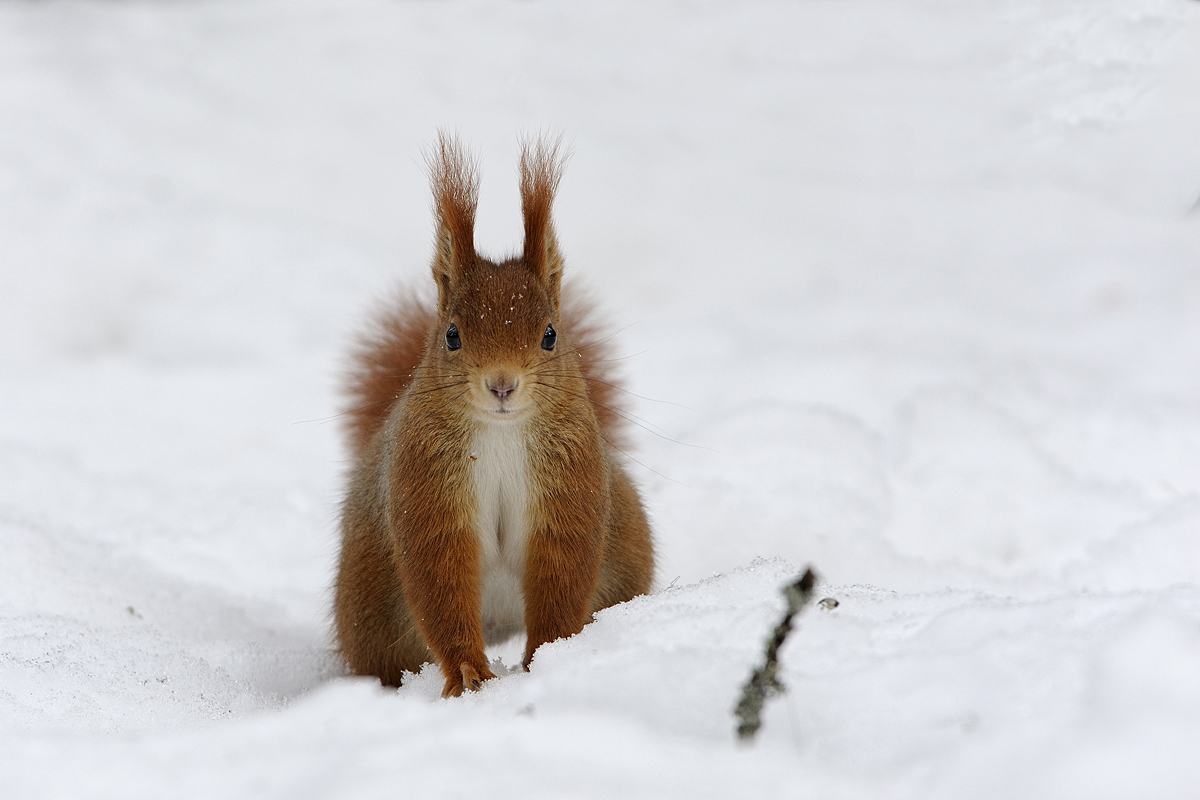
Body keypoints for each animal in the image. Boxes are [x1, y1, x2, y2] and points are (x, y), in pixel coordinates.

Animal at [333, 134, 655, 698]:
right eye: (452, 335)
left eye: (550, 334)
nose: (502, 384)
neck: (502, 433)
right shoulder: (427, 484)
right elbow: (440, 581)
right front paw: (468, 672)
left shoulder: (571, 482)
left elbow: (562, 574)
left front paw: (547, 657)